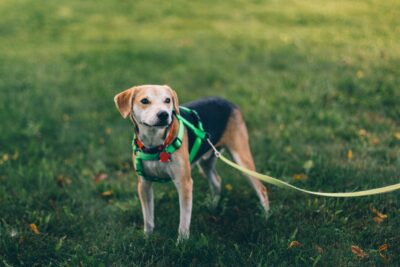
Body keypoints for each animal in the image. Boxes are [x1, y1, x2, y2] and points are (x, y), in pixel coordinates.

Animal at [114, 85, 268, 242]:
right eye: (144, 101)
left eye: (167, 100)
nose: (164, 114)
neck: (156, 145)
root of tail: (228, 102)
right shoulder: (144, 184)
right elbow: (148, 218)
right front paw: (147, 238)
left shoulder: (184, 183)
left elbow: (184, 220)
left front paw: (182, 243)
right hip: (206, 161)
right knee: (217, 181)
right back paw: (213, 205)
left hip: (241, 158)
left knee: (262, 189)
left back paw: (266, 217)